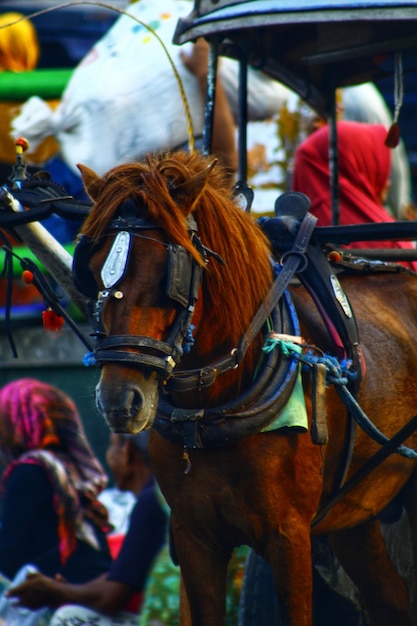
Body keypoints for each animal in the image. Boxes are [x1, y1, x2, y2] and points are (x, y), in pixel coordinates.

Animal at [73, 152, 416, 624]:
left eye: (170, 274)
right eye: (91, 273)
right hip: (357, 511)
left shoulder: (289, 536)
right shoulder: (195, 538)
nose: (120, 400)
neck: (211, 409)